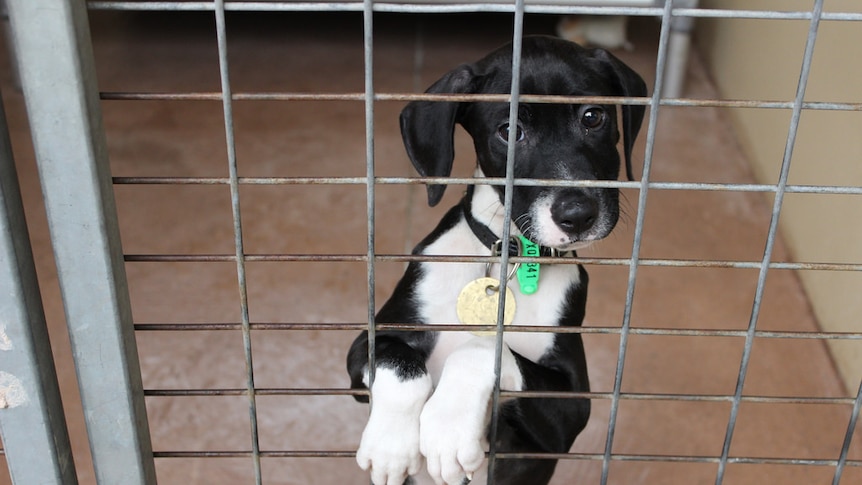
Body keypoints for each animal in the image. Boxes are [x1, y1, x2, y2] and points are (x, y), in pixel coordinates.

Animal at [348, 35, 644, 484]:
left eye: (593, 117)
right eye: (509, 131)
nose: (577, 214)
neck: (508, 256)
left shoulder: (573, 409)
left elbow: (483, 348)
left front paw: (448, 428)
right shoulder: (366, 345)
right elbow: (401, 364)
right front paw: (390, 446)